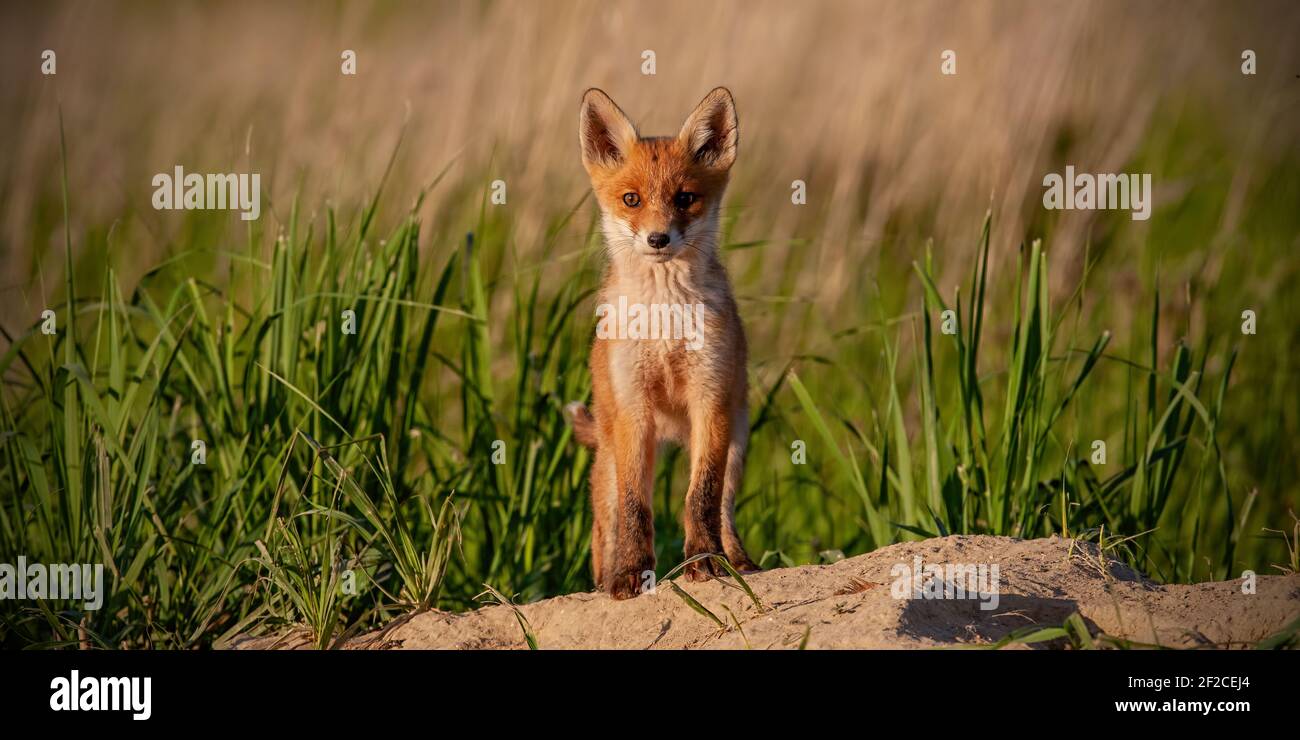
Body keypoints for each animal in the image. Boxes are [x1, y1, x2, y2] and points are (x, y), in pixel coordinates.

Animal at [565, 87, 758, 600]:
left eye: (685, 198)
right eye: (631, 199)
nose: (658, 238)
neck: (665, 321)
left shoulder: (710, 399)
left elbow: (700, 498)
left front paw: (705, 561)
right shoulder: (635, 410)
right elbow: (638, 507)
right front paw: (632, 573)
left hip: (736, 442)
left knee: (722, 507)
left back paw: (738, 561)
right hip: (610, 461)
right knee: (608, 523)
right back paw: (605, 577)